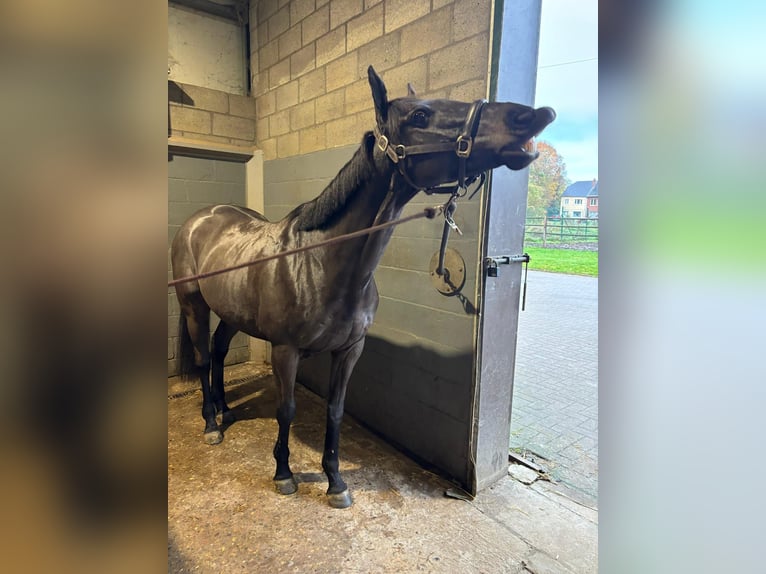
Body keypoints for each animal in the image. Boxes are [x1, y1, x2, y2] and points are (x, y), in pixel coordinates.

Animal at [170, 66, 555, 508]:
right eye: (420, 115)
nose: (530, 117)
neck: (321, 264)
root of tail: (200, 219)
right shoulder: (285, 350)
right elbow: (287, 409)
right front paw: (284, 474)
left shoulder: (350, 350)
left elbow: (335, 411)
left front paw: (336, 481)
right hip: (193, 305)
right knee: (203, 358)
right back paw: (211, 423)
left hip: (232, 311)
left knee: (218, 351)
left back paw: (226, 409)